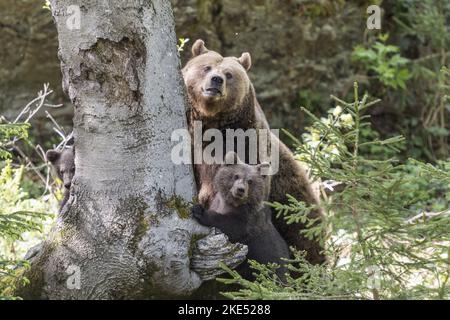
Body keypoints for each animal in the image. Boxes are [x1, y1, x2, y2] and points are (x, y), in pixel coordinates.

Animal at [181, 39, 326, 264]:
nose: (216, 80)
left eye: (229, 74)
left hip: (295, 207)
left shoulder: (247, 144)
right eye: (207, 67)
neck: (211, 124)